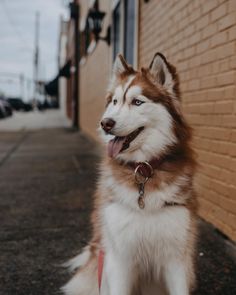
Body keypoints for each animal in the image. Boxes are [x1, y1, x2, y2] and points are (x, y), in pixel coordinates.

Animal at [62, 53, 197, 295]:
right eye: (114, 102)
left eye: (137, 102)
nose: (105, 124)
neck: (143, 168)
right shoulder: (119, 259)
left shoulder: (177, 258)